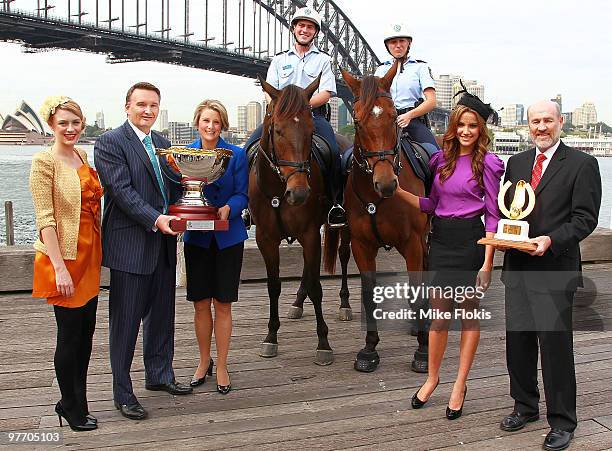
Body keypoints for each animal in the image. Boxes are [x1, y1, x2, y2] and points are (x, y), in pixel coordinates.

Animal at [247, 74, 346, 364]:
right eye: (278, 131)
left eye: (311, 131)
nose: (300, 192)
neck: (279, 190)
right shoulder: (265, 238)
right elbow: (273, 286)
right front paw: (271, 337)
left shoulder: (310, 233)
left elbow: (317, 287)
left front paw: (323, 342)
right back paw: (298, 302)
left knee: (343, 256)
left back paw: (345, 304)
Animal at [326, 61, 430, 374]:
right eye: (358, 121)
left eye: (395, 116)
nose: (386, 183)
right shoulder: (362, 244)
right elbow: (369, 293)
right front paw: (369, 349)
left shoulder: (412, 242)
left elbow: (417, 289)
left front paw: (423, 351)